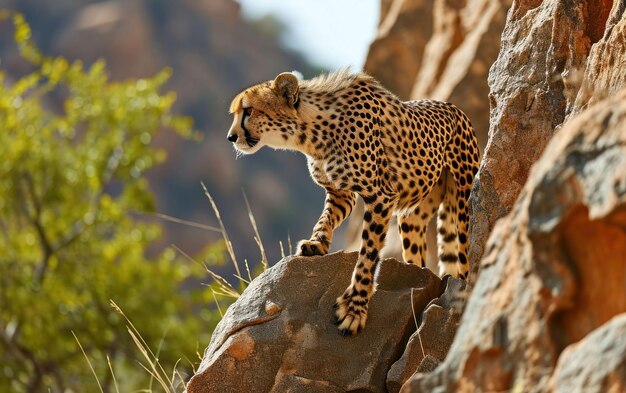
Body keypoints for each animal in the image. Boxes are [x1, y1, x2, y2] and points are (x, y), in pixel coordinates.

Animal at [228, 69, 478, 334]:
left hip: (463, 205)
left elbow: (367, 254)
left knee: (465, 256)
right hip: (413, 216)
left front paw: (355, 308)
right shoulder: (340, 193)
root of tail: (453, 107)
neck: (311, 130)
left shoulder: (381, 196)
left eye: (249, 110)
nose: (231, 137)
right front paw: (316, 244)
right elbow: (325, 219)